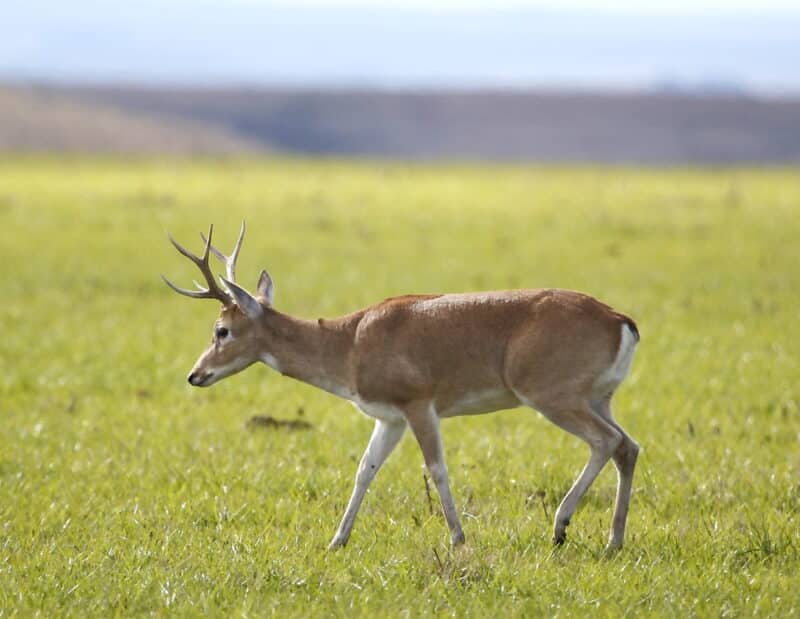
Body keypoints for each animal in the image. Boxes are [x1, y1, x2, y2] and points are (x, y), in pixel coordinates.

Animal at [163, 222, 641, 552]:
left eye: (222, 330)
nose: (195, 375)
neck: (349, 341)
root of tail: (620, 320)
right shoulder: (389, 418)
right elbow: (365, 469)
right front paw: (337, 541)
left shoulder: (419, 406)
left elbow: (437, 468)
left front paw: (458, 538)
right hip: (598, 399)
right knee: (628, 446)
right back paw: (613, 540)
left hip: (553, 398)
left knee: (606, 441)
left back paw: (561, 528)